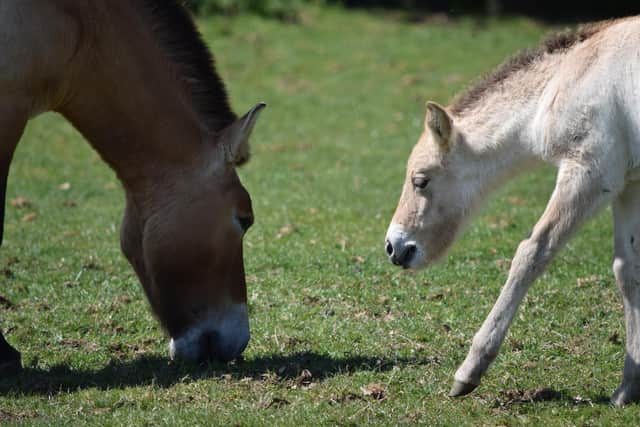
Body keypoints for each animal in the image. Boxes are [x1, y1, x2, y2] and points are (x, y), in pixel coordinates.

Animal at [388, 15, 640, 404]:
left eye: (420, 180)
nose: (394, 247)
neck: (570, 76)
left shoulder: (589, 173)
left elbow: (531, 252)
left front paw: (469, 371)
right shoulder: (627, 184)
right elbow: (627, 269)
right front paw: (628, 387)